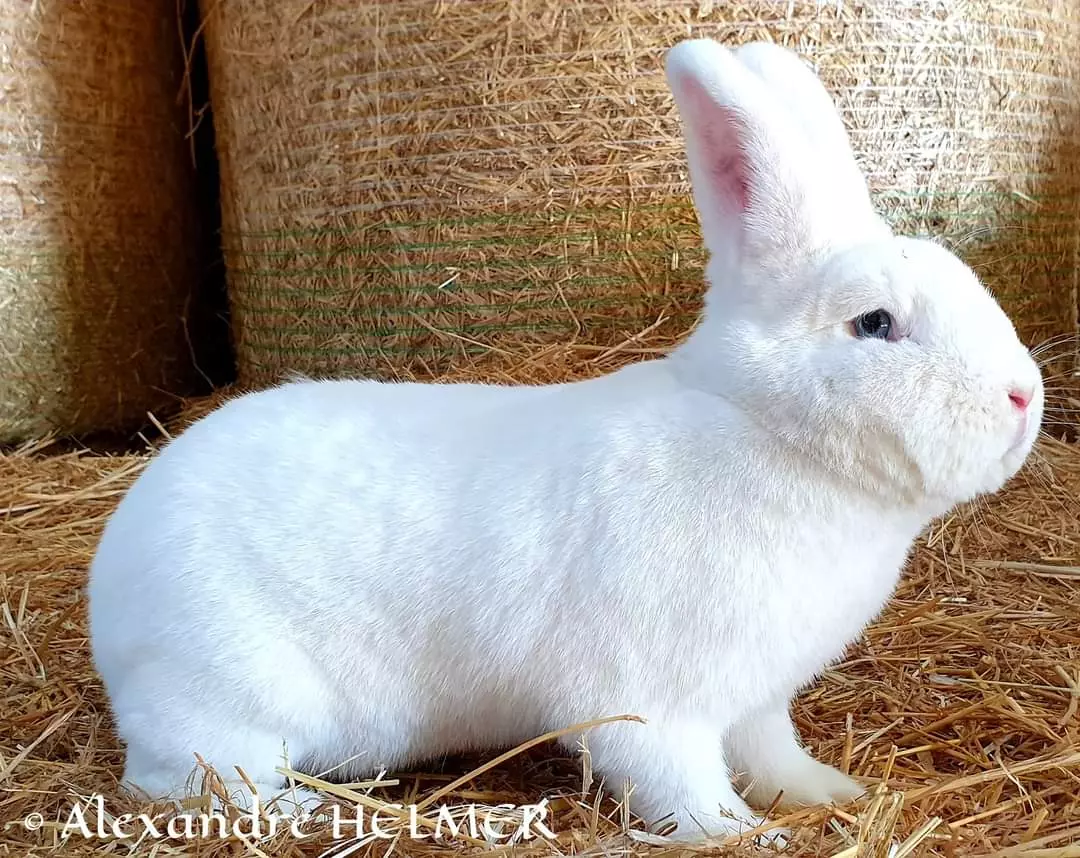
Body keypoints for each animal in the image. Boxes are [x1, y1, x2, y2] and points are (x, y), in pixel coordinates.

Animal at [86, 37, 1043, 842]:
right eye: (876, 323)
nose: (1023, 397)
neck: (763, 431)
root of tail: (112, 587)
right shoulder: (653, 701)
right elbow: (678, 782)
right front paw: (743, 834)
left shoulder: (755, 700)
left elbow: (774, 755)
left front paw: (827, 795)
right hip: (227, 693)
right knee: (189, 782)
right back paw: (302, 809)